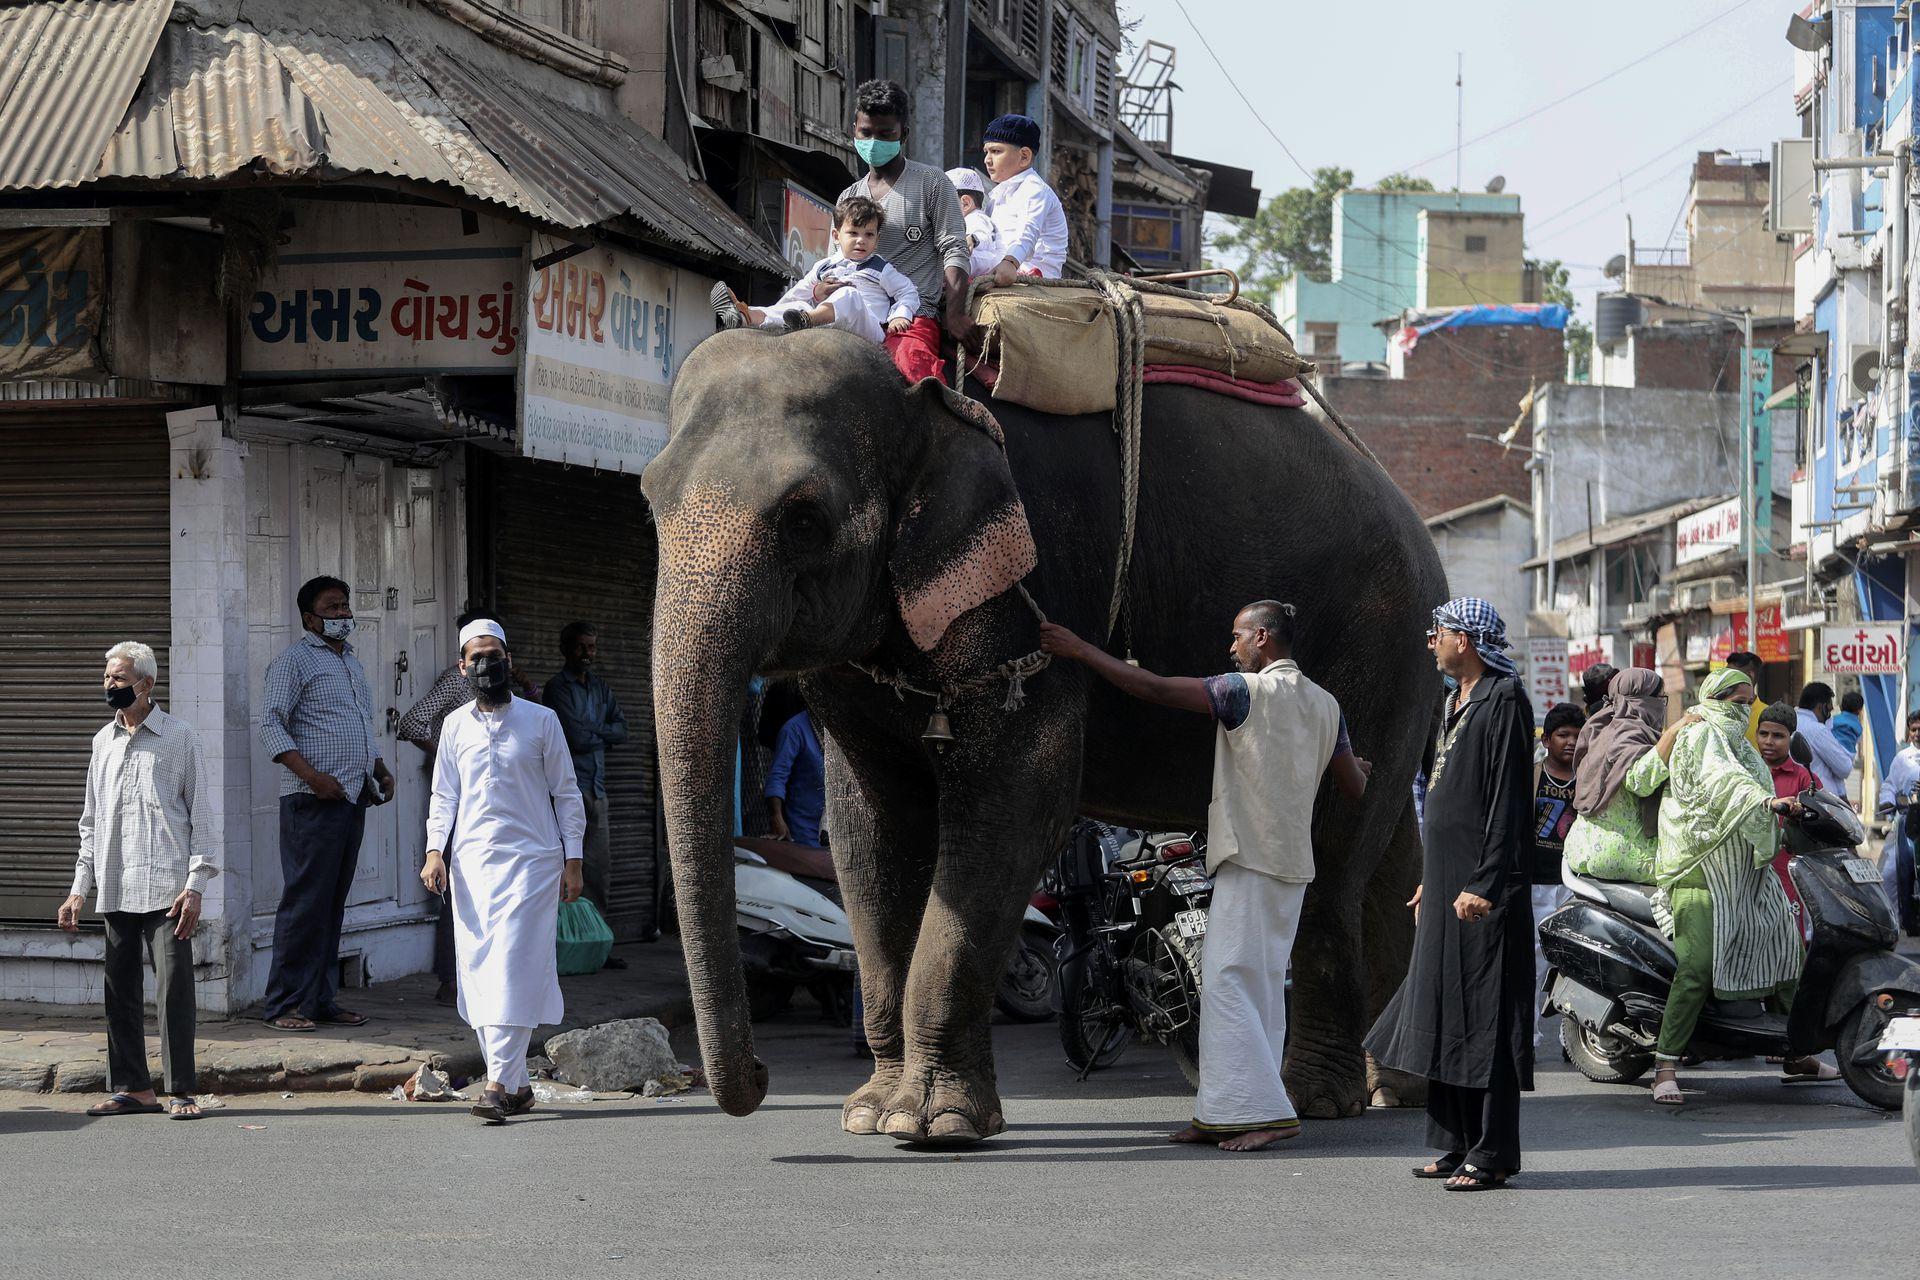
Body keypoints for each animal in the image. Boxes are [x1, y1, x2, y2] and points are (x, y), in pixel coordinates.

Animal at [645, 326, 1443, 1143]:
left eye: (805, 519)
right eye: (650, 500)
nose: (759, 1080)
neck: (921, 401)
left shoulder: (1035, 577)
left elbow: (1018, 805)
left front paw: (937, 1125)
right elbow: (868, 832)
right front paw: (871, 1114)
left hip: (1382, 648)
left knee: (1336, 854)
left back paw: (1316, 1098)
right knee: (1393, 850)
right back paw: (1391, 1089)